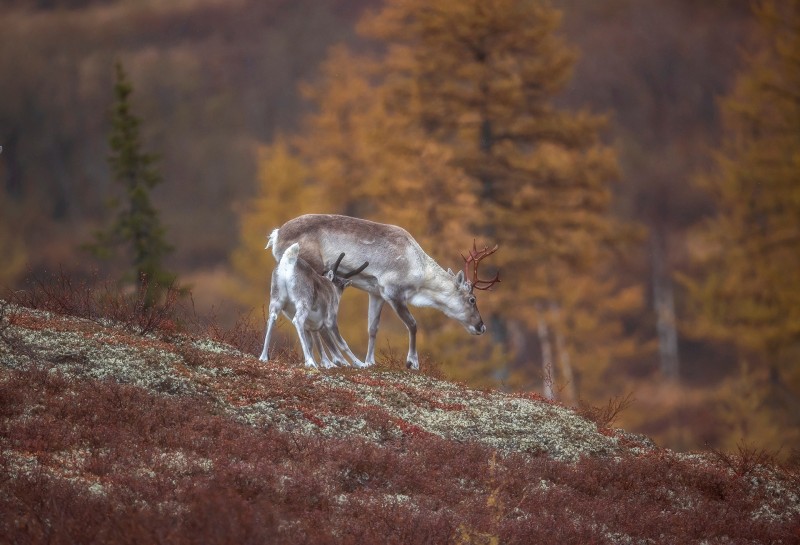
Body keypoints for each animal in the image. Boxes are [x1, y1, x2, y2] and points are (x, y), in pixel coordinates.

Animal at [266, 212, 496, 370]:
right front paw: (412, 362)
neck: (419, 272)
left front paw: (369, 361)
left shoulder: (376, 293)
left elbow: (372, 328)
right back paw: (330, 361)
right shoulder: (394, 292)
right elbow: (413, 324)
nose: (482, 326)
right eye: (472, 299)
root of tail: (276, 235)